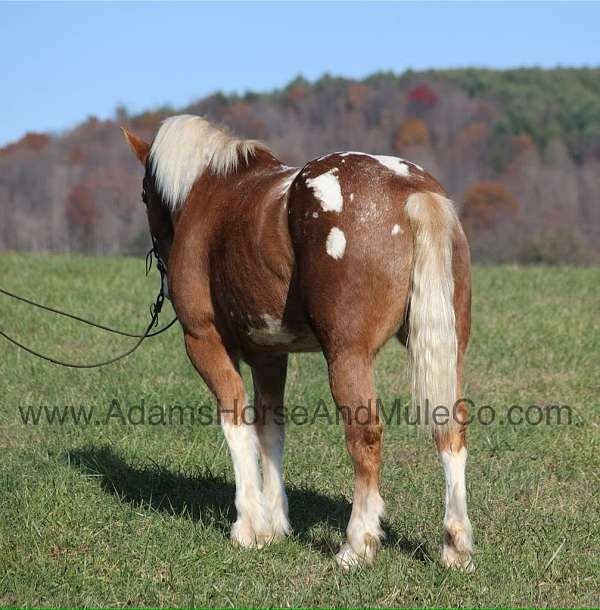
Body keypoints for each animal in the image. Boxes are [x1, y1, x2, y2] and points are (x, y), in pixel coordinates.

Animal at [120, 116, 474, 568]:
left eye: (144, 194)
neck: (211, 193)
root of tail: (409, 188)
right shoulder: (269, 355)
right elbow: (270, 429)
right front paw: (275, 524)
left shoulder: (203, 342)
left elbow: (236, 424)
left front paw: (249, 526)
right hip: (448, 350)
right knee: (450, 428)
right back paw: (455, 546)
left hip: (347, 356)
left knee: (365, 435)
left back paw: (357, 544)